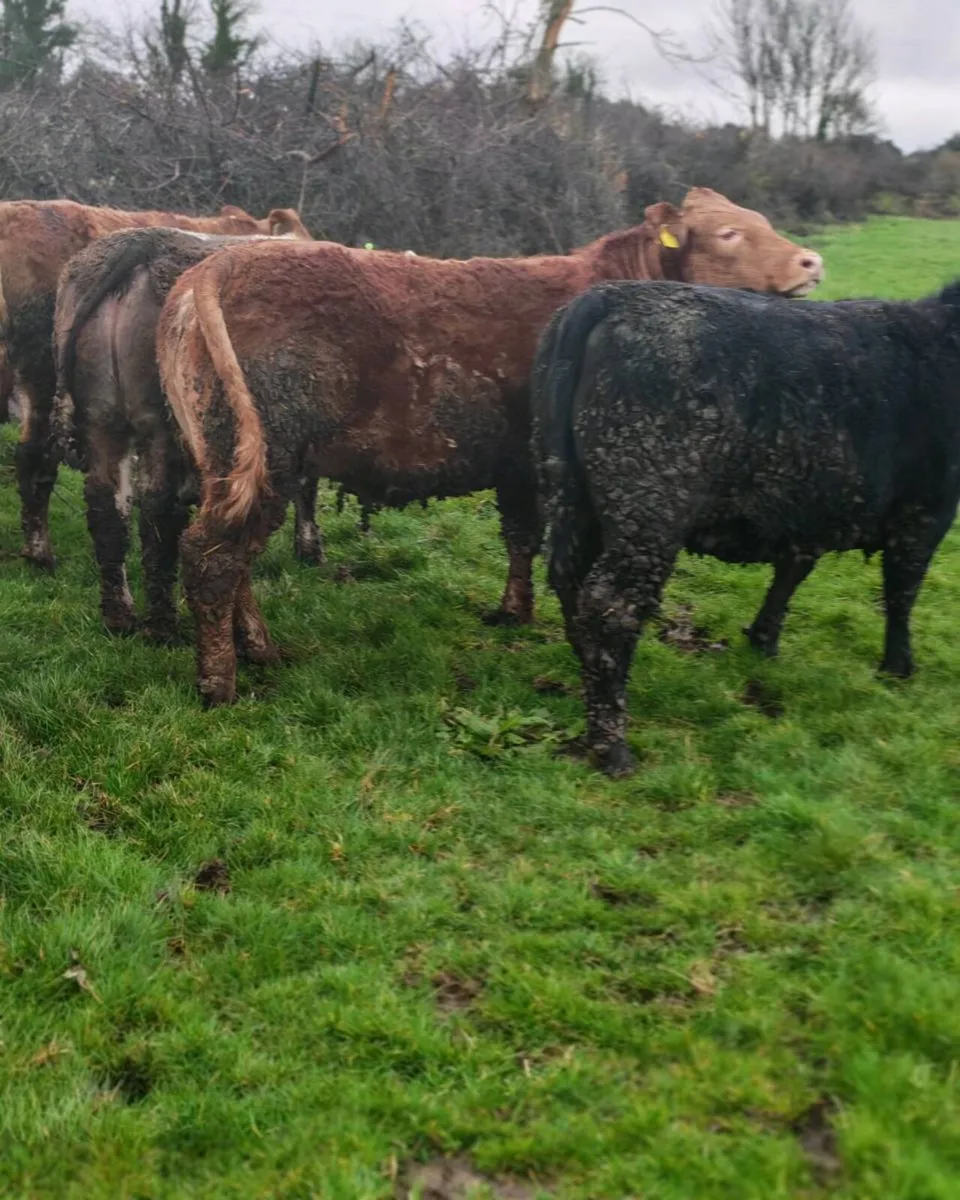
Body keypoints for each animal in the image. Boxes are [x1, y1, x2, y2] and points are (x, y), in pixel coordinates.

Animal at [53, 227, 323, 644]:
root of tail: (141, 242)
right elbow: (307, 486)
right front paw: (309, 548)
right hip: (161, 426)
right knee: (157, 511)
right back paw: (162, 626)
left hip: (101, 422)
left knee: (107, 509)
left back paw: (119, 618)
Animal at [155, 187, 823, 706]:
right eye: (730, 233)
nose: (811, 261)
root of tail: (215, 269)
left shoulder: (517, 465)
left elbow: (520, 537)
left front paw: (512, 612)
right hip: (270, 454)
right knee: (214, 558)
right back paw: (221, 684)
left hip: (232, 462)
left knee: (232, 557)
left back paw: (258, 649)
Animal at [532, 278, 960, 777]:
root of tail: (612, 293)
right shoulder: (925, 511)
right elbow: (901, 592)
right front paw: (898, 666)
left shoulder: (807, 510)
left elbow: (793, 572)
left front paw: (763, 641)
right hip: (648, 509)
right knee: (610, 606)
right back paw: (613, 745)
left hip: (570, 493)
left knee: (569, 581)